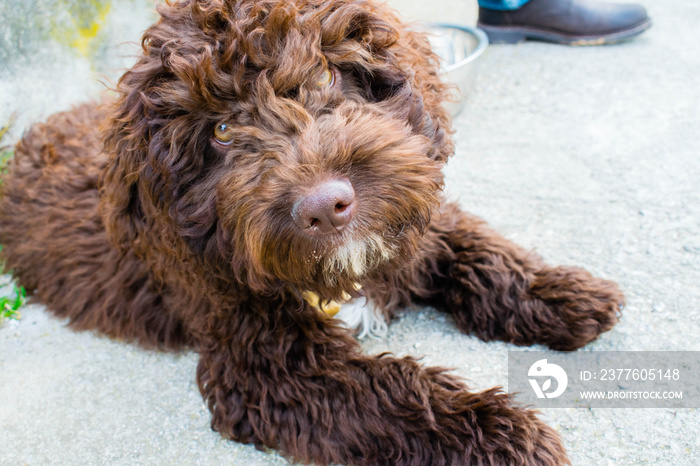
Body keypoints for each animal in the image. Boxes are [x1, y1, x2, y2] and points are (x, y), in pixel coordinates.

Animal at [0, 0, 624, 464]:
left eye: (326, 72)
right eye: (221, 131)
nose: (326, 207)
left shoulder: (415, 221)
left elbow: (474, 245)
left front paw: (563, 293)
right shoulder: (265, 367)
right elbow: (387, 392)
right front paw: (500, 433)